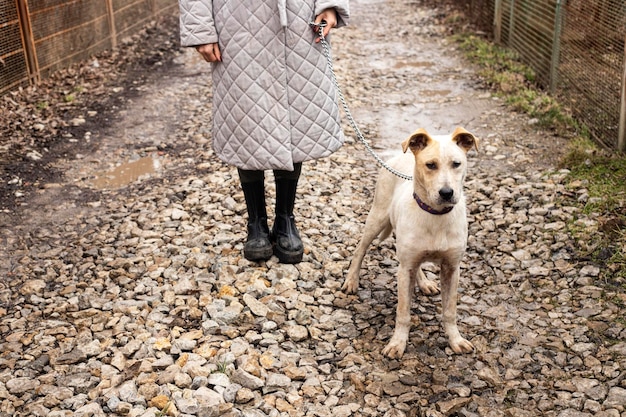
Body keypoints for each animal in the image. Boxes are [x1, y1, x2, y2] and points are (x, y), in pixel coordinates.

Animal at [344, 127, 476, 358]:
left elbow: (450, 311)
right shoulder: (404, 271)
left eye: (456, 164)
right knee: (360, 249)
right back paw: (351, 280)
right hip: (376, 218)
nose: (446, 193)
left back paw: (424, 282)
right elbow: (403, 312)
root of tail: (401, 155)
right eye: (430, 165)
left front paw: (456, 340)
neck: (435, 215)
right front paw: (397, 343)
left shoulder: (452, 268)